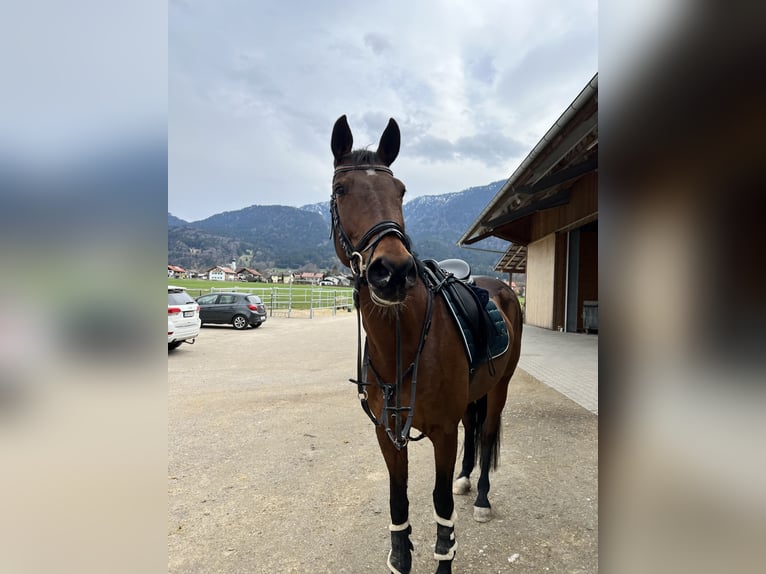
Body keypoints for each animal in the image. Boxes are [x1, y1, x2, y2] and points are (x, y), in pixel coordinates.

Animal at [332, 115, 524, 572]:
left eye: (400, 191)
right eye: (340, 189)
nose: (393, 271)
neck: (402, 341)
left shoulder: (442, 432)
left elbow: (440, 509)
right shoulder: (388, 434)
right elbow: (398, 506)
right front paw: (401, 557)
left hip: (500, 388)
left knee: (487, 434)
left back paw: (482, 496)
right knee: (475, 429)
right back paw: (465, 479)